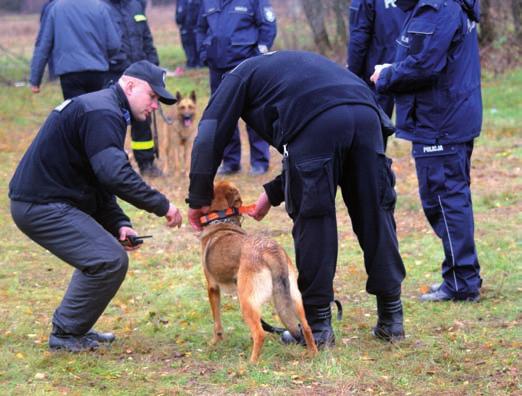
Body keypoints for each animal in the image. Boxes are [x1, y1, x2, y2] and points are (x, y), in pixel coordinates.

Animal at [197, 181, 314, 364]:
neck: (221, 220)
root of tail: (270, 250)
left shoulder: (213, 288)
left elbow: (217, 323)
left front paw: (215, 342)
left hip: (246, 301)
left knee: (260, 333)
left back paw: (251, 363)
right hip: (293, 298)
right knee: (306, 327)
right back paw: (313, 353)